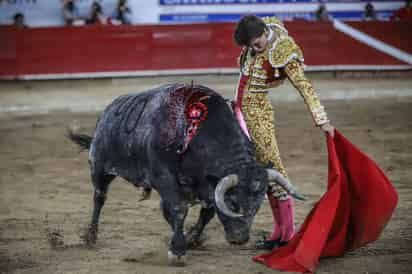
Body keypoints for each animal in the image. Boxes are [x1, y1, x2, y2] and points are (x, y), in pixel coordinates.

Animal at [67, 83, 302, 266]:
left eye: (258, 205)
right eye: (233, 202)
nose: (240, 238)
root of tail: (107, 112)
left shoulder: (204, 186)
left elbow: (206, 212)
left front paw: (191, 239)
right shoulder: (164, 178)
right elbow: (179, 209)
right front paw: (178, 250)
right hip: (99, 167)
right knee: (99, 197)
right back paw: (91, 236)